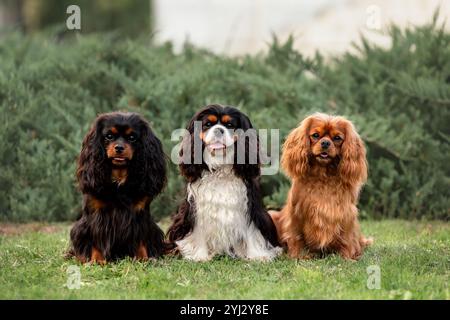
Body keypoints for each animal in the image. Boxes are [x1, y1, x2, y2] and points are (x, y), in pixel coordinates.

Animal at [167, 104, 280, 260]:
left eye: (230, 125)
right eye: (208, 124)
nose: (219, 130)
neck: (220, 168)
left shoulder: (249, 206)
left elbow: (252, 230)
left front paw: (257, 255)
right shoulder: (195, 208)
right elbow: (198, 230)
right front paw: (200, 256)